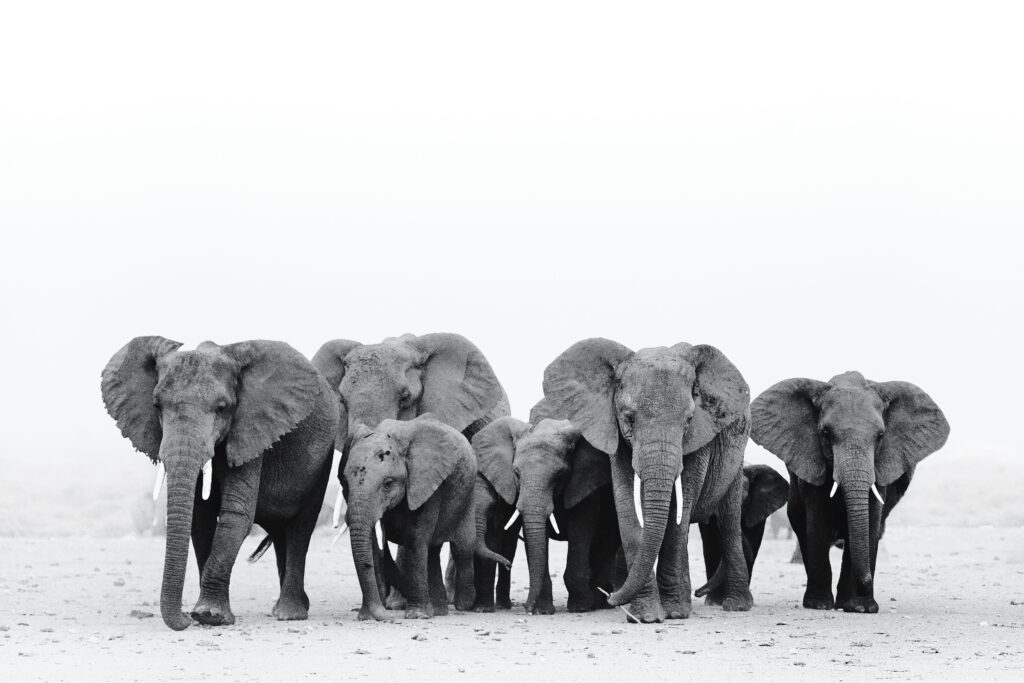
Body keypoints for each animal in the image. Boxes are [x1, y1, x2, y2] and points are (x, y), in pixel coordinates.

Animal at [101, 338, 338, 631]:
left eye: (222, 408)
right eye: (156, 406)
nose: (183, 618)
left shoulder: (251, 429)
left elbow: (235, 515)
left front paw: (209, 616)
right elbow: (199, 518)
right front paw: (201, 613)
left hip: (321, 460)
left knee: (300, 528)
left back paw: (289, 613)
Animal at [343, 414, 510, 621]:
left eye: (388, 483)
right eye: (345, 481)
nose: (385, 615)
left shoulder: (428, 482)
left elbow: (415, 540)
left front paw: (417, 615)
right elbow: (376, 547)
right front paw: (367, 616)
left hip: (468, 494)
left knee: (462, 547)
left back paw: (463, 604)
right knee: (432, 552)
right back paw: (437, 611)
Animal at [543, 338, 752, 623]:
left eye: (688, 421)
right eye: (629, 419)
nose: (610, 597)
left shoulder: (701, 435)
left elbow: (679, 514)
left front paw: (673, 613)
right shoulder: (614, 432)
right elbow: (627, 507)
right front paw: (646, 617)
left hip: (736, 457)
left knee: (729, 523)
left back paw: (735, 606)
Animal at [694, 463, 790, 604]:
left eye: (745, 501)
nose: (696, 592)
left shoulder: (758, 508)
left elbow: (754, 543)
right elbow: (714, 541)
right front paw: (716, 601)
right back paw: (714, 601)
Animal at [750, 371, 949, 613]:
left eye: (880, 436)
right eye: (825, 433)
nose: (867, 583)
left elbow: (872, 519)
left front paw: (860, 607)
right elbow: (817, 521)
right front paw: (820, 605)